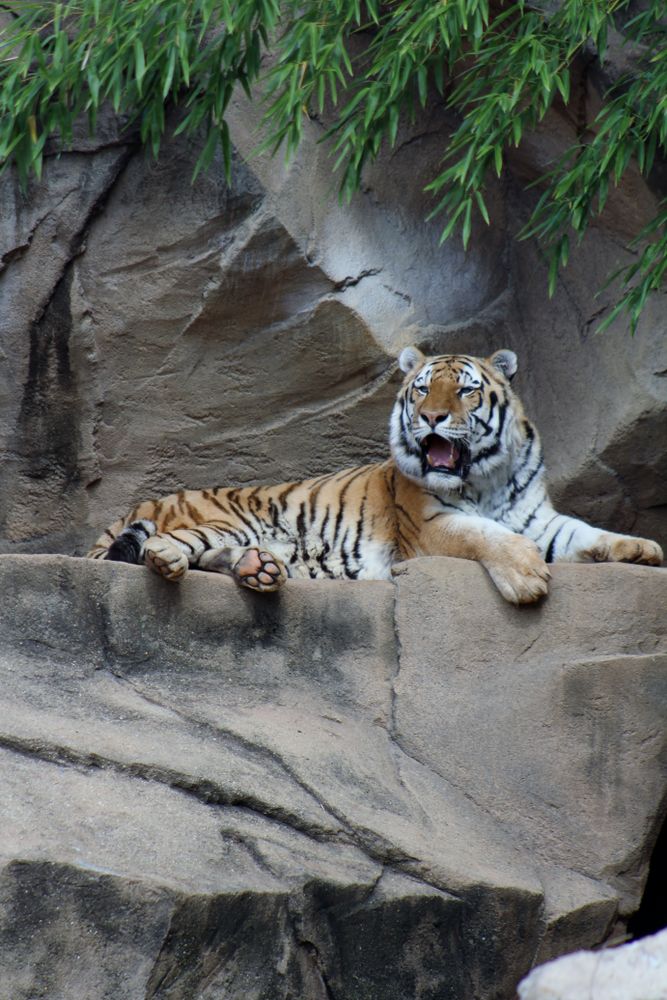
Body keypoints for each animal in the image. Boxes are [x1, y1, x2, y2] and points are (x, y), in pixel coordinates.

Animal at [88, 346, 663, 604]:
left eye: (466, 390)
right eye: (422, 388)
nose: (432, 417)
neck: (486, 479)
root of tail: (135, 507)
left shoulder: (539, 520)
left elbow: (586, 532)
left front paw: (644, 550)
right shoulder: (430, 527)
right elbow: (484, 534)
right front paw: (526, 578)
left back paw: (260, 569)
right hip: (226, 519)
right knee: (165, 545)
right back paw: (174, 558)